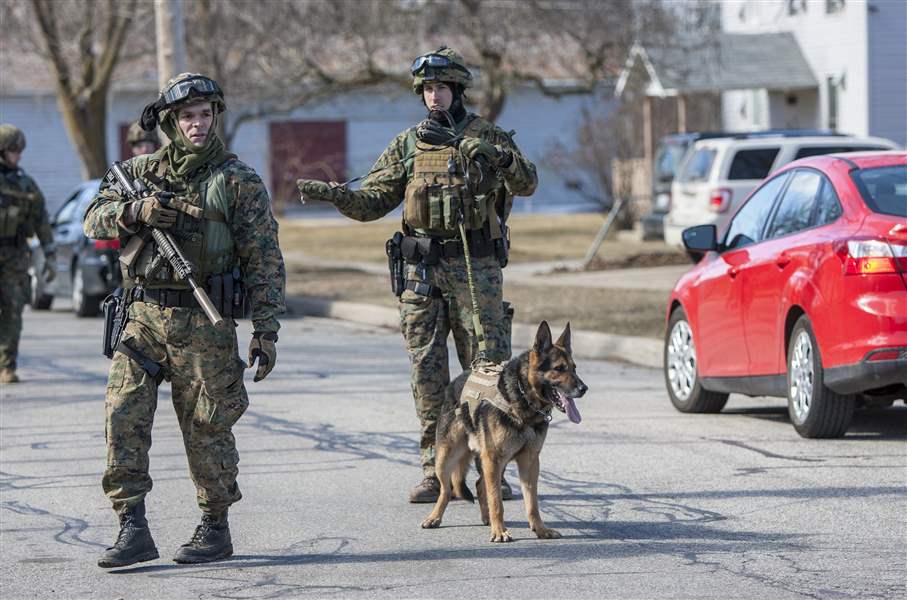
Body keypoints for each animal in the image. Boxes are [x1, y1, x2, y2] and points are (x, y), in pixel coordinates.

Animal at [420, 322, 588, 540]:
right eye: (559, 368)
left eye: (574, 368)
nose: (584, 388)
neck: (522, 398)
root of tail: (457, 381)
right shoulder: (493, 459)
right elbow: (496, 501)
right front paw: (500, 531)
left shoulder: (530, 462)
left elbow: (532, 503)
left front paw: (540, 529)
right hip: (447, 458)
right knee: (447, 489)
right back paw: (435, 517)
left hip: (495, 462)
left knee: (479, 485)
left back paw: (486, 519)